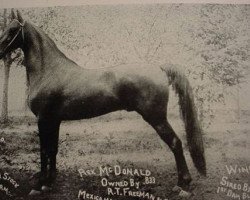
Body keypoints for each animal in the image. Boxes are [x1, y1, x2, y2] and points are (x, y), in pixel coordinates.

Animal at [0, 10, 206, 196]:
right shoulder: (54, 120)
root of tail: (159, 67)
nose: (0, 51)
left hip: (156, 118)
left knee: (175, 143)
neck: (49, 71)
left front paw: (38, 185)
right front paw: (49, 183)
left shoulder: (43, 119)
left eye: (13, 30)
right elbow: (53, 150)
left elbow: (44, 150)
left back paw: (183, 185)